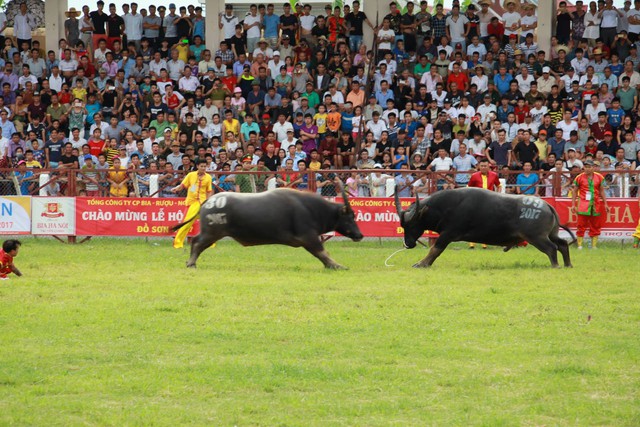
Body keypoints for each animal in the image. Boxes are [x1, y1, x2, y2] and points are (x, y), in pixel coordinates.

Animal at [170, 189, 362, 270]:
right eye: (349, 217)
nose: (360, 235)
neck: (312, 209)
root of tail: (210, 201)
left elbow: (321, 254)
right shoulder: (309, 237)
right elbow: (322, 252)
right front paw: (337, 265)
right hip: (212, 233)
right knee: (196, 242)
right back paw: (191, 263)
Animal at [396, 187, 576, 268]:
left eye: (411, 224)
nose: (408, 243)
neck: (446, 206)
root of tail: (546, 205)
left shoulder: (448, 234)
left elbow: (435, 250)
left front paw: (421, 263)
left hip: (537, 237)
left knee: (551, 248)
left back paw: (556, 265)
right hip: (551, 234)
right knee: (562, 244)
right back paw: (568, 265)